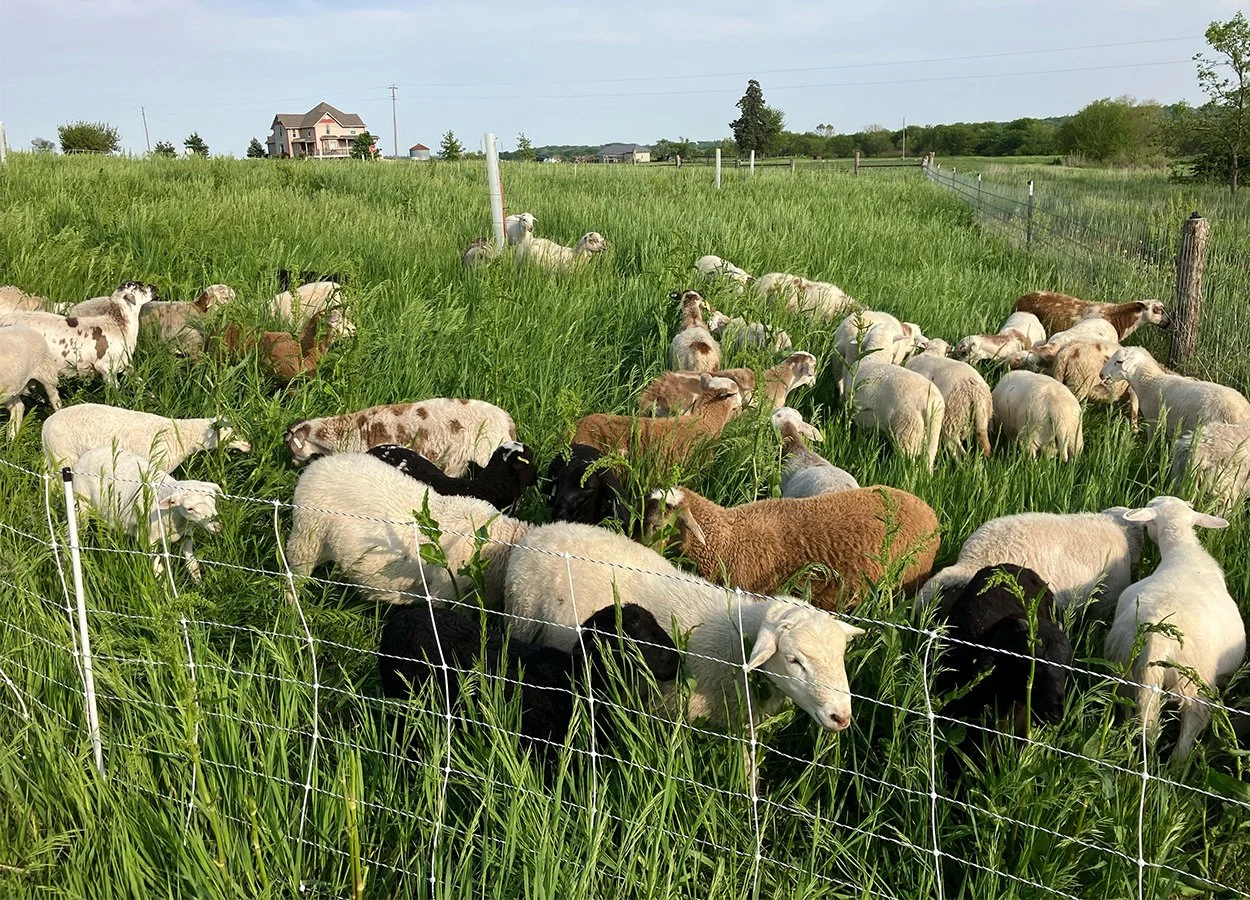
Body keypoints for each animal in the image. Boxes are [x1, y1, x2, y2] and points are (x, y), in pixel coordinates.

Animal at [70, 446, 222, 583]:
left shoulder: (187, 534)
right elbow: (157, 569)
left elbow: (192, 564)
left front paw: (199, 584)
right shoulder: (149, 540)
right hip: (81, 506)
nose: (217, 526)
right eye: (189, 508)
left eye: (213, 498)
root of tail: (88, 453)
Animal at [504, 521, 866, 731]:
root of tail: (544, 528)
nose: (841, 717)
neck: (731, 643)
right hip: (520, 619)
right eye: (794, 660)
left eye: (840, 658)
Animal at [1105, 496, 1245, 761]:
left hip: (1125, 671)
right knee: (1193, 722)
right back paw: (1178, 765)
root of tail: (1159, 638)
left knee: (1135, 713)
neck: (1183, 550)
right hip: (1195, 680)